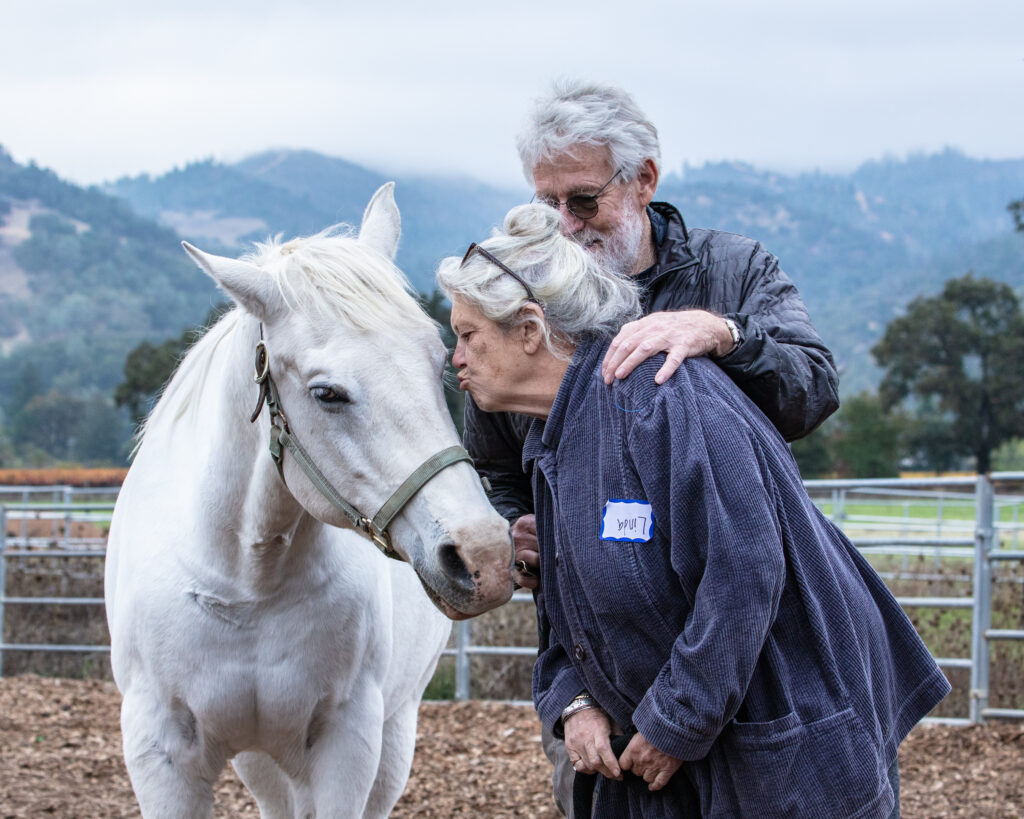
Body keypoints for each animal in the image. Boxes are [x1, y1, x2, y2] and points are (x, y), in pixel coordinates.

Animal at [104, 183, 514, 818]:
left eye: (439, 361)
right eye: (328, 393)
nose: (484, 555)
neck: (248, 583)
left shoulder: (347, 744)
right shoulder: (161, 755)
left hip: (393, 731)